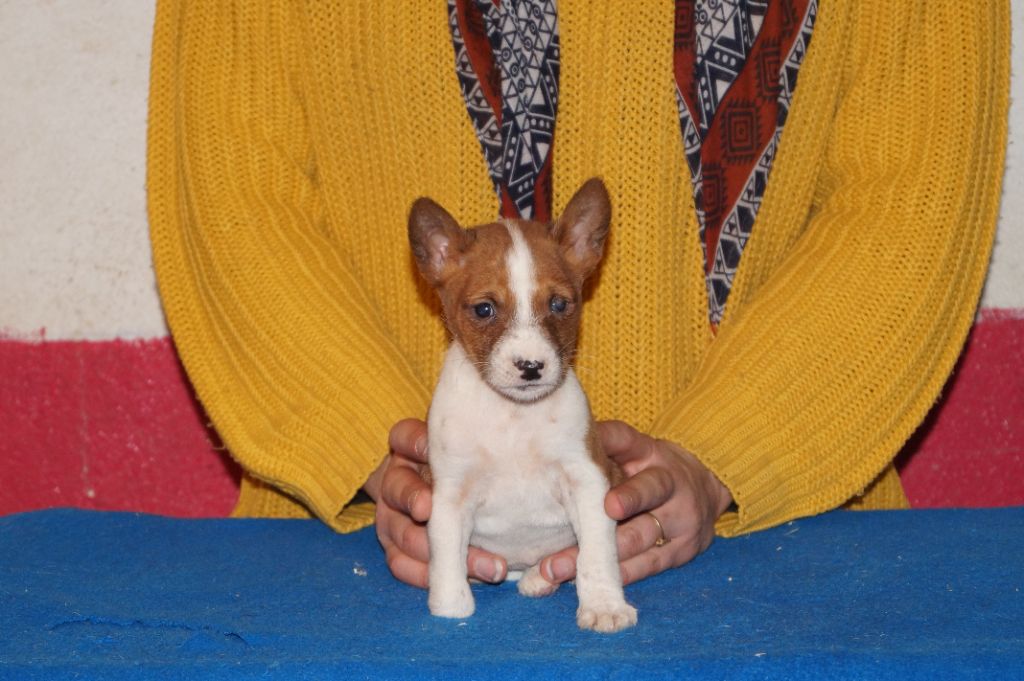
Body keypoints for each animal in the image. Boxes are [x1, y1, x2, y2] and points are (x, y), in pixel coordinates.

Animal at [407, 178, 637, 633]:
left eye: (559, 304)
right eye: (484, 309)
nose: (531, 366)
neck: (513, 418)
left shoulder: (587, 481)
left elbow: (596, 556)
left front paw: (604, 605)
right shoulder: (449, 492)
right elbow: (446, 559)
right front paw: (451, 609)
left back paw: (540, 578)